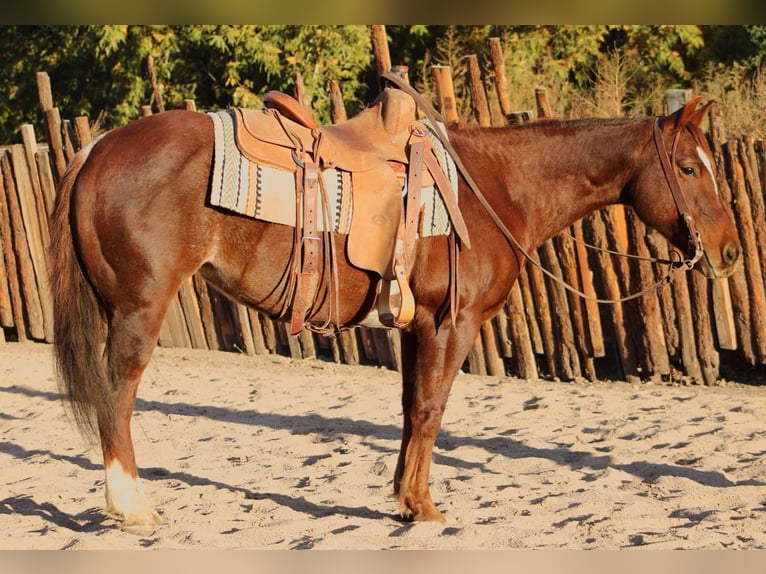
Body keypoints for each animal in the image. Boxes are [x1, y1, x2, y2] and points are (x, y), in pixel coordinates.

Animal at [49, 92, 744, 532]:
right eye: (688, 167)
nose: (730, 252)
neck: (496, 188)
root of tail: (98, 147)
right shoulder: (452, 325)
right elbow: (433, 412)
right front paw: (424, 508)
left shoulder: (416, 327)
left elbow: (412, 410)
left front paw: (405, 501)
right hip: (139, 309)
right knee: (118, 397)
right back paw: (132, 508)